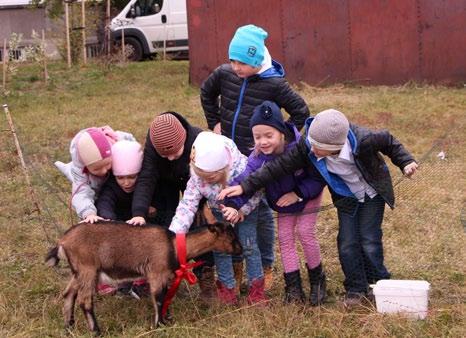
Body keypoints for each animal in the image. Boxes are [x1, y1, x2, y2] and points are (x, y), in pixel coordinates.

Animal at [45, 220, 242, 334]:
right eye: (231, 235)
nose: (240, 249)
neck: (173, 246)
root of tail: (62, 242)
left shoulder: (164, 276)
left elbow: (166, 296)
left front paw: (167, 320)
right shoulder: (156, 273)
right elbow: (159, 298)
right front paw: (159, 325)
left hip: (78, 271)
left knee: (68, 294)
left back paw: (68, 327)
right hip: (87, 269)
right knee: (84, 301)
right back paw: (96, 331)